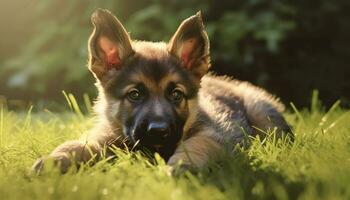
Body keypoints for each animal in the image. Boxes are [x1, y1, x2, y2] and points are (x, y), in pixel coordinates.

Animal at [32, 9, 290, 173]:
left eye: (176, 95)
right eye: (134, 94)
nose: (158, 131)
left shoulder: (216, 134)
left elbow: (197, 145)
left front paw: (182, 164)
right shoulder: (103, 137)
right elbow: (77, 144)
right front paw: (55, 158)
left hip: (260, 112)